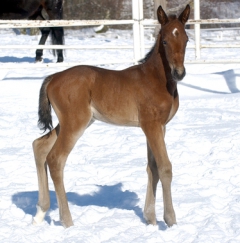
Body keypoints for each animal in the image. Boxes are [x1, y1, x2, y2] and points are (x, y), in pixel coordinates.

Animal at [32, 5, 189, 228]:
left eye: (186, 39)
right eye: (165, 41)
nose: (179, 73)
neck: (156, 80)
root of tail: (53, 77)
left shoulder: (159, 126)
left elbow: (152, 167)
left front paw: (150, 219)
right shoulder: (151, 125)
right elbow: (165, 167)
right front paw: (170, 220)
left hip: (73, 122)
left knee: (39, 146)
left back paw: (40, 213)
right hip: (75, 123)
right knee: (55, 159)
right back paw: (67, 221)